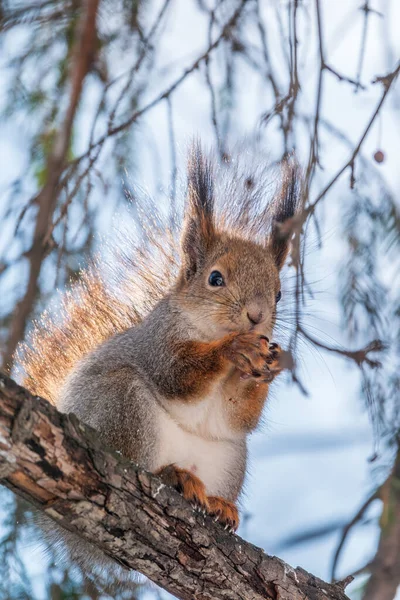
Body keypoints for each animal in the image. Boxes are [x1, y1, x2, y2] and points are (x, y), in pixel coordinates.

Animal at [18, 144, 300, 576]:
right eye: (215, 279)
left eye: (280, 293)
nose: (256, 316)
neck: (207, 330)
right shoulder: (158, 343)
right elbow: (178, 376)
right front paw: (233, 349)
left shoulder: (235, 412)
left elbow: (239, 416)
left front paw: (267, 366)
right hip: (122, 406)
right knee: (144, 461)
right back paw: (173, 475)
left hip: (230, 456)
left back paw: (218, 505)